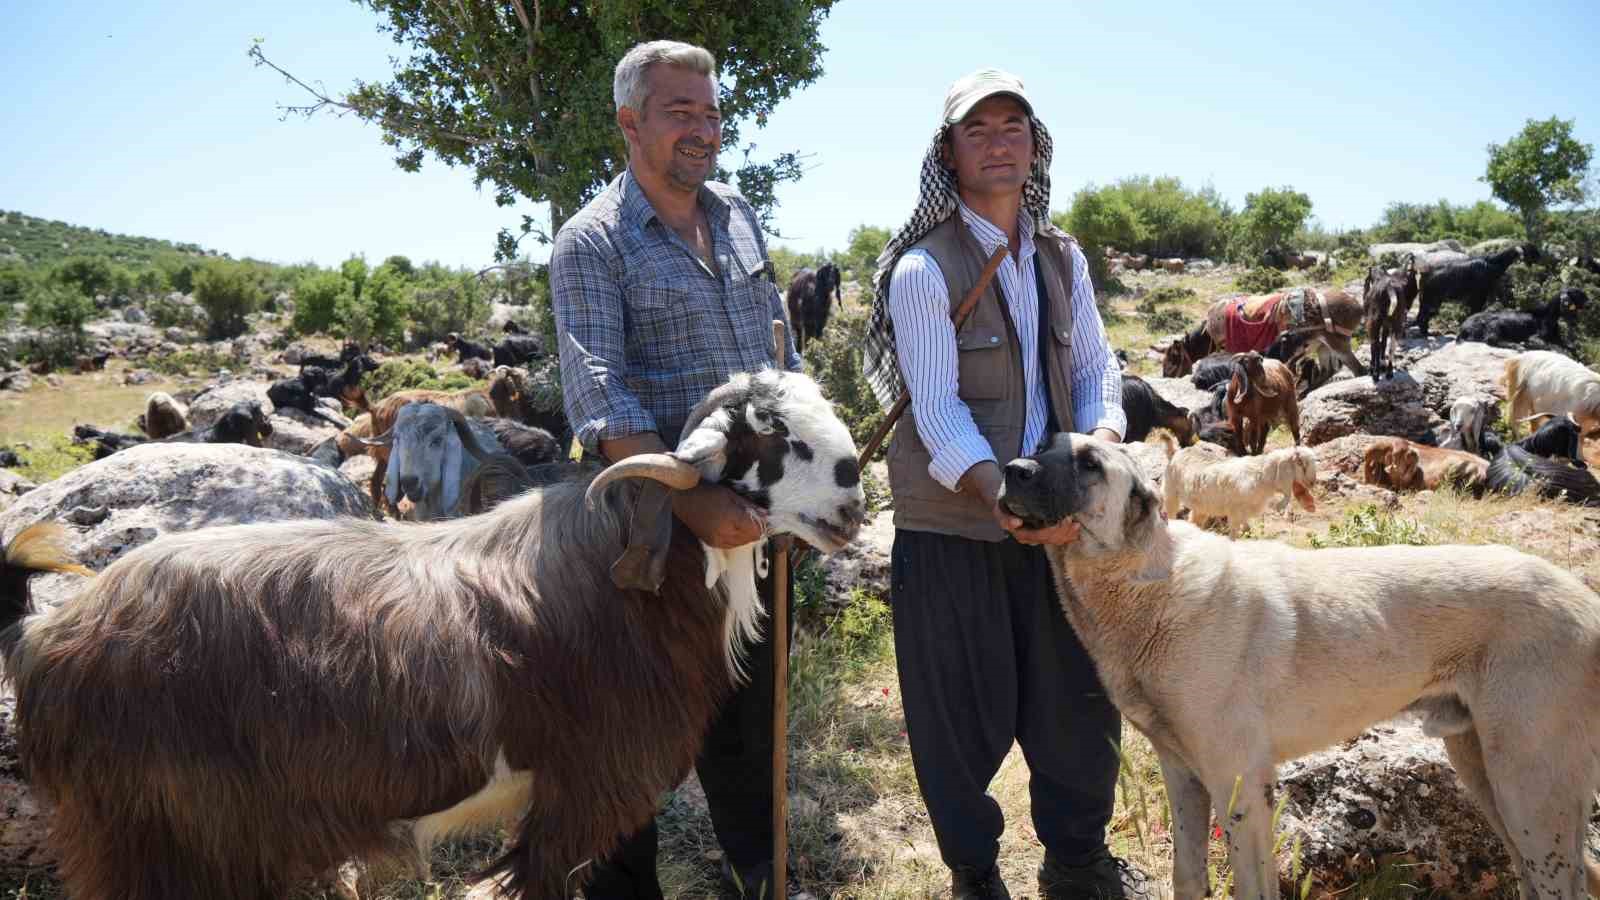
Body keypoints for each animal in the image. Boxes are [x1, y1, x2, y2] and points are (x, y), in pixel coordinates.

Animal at [998, 432, 1600, 896]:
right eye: (1042, 445)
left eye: (1089, 464)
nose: (1011, 470)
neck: (1146, 584)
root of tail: (1585, 600)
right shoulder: (1184, 777)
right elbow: (1187, 877)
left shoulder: (1239, 786)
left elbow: (1251, 885)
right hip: (1484, 771)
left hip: (1527, 788)